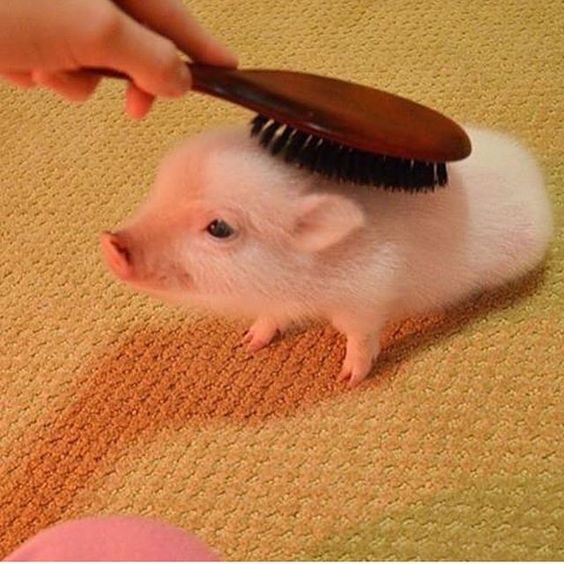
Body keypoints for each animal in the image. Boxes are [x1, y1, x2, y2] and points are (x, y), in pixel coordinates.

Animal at [100, 125, 552, 386]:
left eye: (220, 228)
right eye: (160, 189)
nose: (111, 243)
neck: (304, 284)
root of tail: (537, 183)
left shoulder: (369, 296)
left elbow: (360, 336)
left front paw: (349, 379)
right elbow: (271, 318)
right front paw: (248, 343)